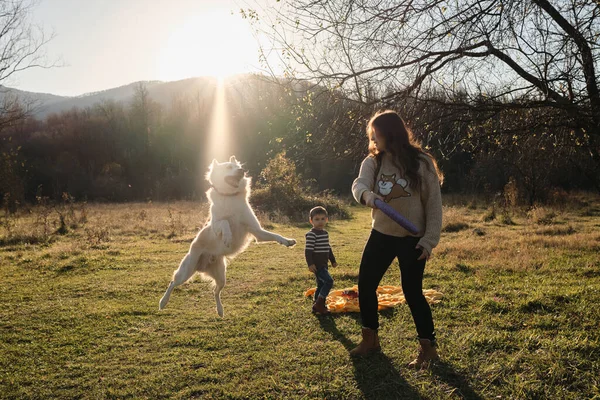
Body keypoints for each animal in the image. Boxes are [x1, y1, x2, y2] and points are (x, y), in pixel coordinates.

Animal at [158, 156, 296, 316]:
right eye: (229, 167)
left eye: (238, 166)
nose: (242, 170)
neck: (230, 196)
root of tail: (203, 266)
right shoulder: (215, 226)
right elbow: (225, 223)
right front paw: (228, 238)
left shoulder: (257, 231)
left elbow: (275, 235)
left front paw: (287, 241)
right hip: (186, 271)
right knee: (173, 282)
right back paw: (163, 302)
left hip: (221, 277)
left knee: (215, 291)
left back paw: (220, 310)